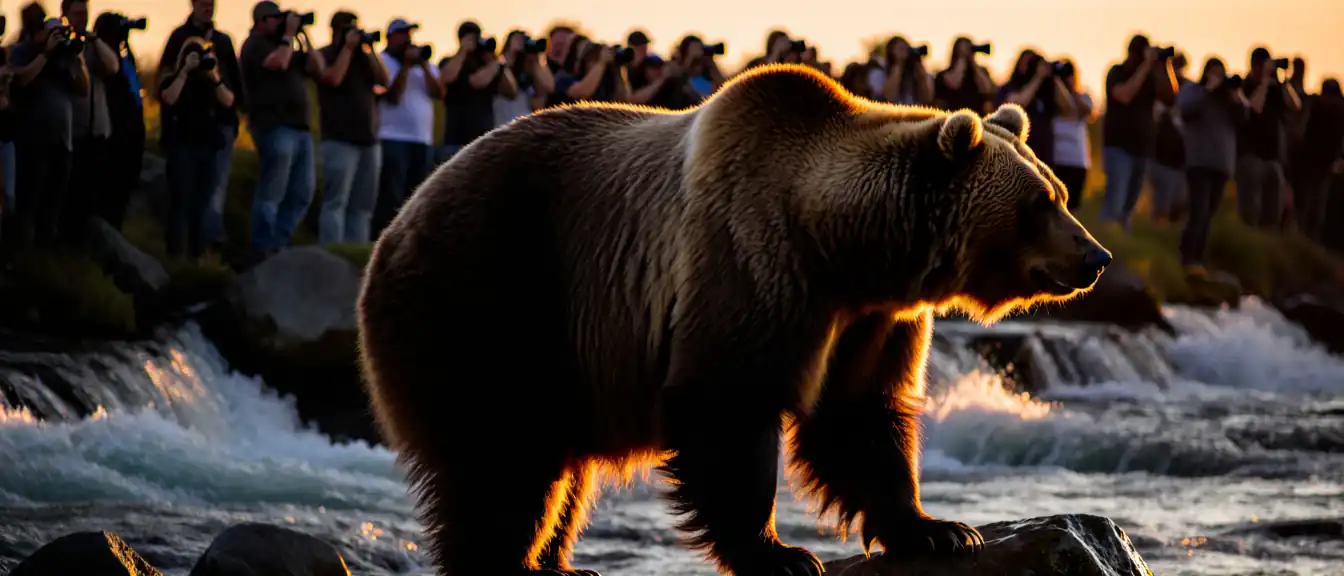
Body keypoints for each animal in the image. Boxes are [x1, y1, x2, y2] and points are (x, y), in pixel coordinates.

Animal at [356, 63, 1111, 576]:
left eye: (1058, 191)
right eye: (1040, 204)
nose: (1096, 255)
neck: (844, 248)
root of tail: (395, 225)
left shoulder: (869, 320)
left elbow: (861, 418)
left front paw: (939, 528)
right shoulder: (748, 263)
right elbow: (729, 404)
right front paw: (779, 553)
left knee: (554, 470)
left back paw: (562, 562)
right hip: (491, 294)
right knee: (501, 455)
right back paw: (509, 561)